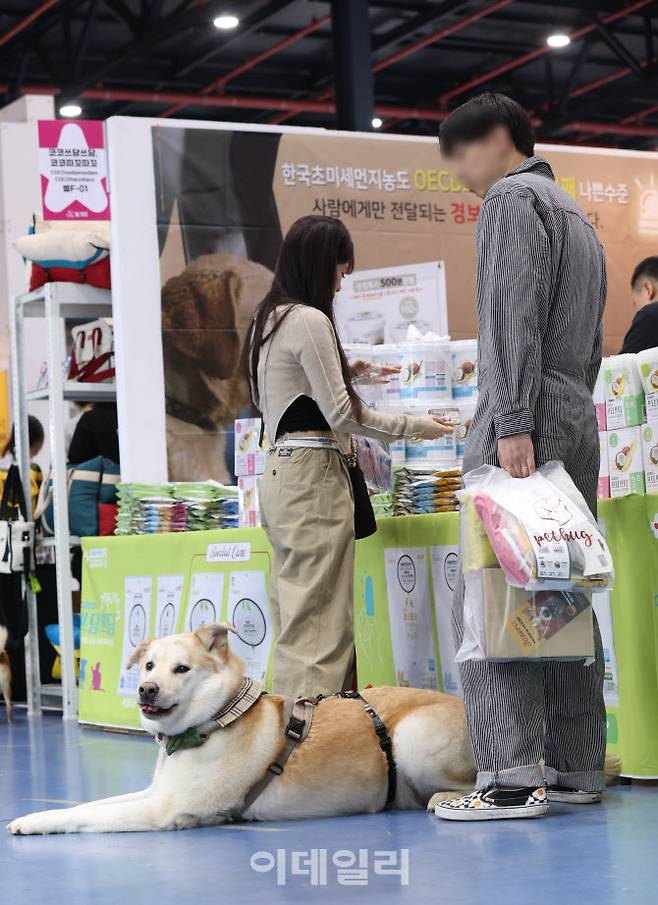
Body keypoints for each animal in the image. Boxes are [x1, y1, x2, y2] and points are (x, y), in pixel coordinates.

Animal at [7, 620, 474, 832]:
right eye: (149, 665)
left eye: (182, 669)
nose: (145, 690)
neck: (213, 722)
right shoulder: (154, 792)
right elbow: (85, 806)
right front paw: (34, 815)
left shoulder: (161, 808)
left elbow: (91, 817)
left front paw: (38, 825)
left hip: (412, 738)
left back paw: (450, 799)